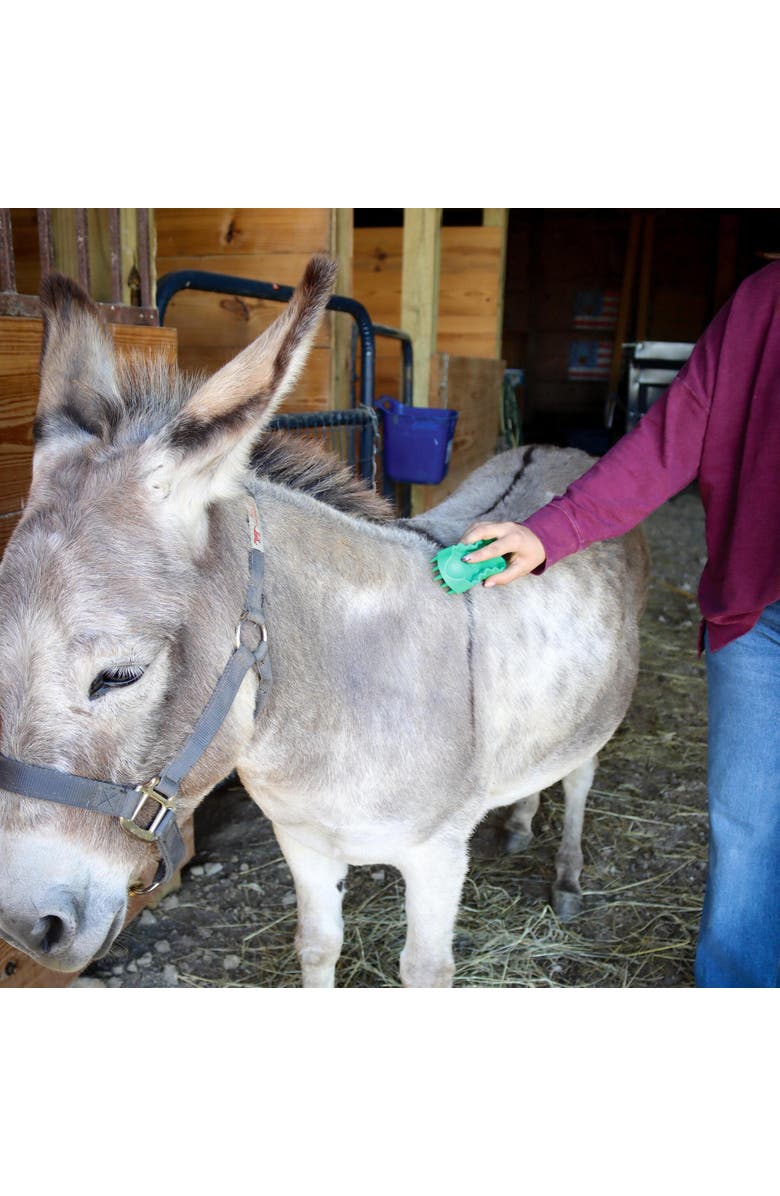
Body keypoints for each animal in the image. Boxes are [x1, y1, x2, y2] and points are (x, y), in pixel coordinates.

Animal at [0, 256, 648, 986]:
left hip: (599, 714)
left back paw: (566, 876)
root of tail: (554, 447)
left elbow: (424, 969)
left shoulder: (436, 854)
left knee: (581, 778)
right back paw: (517, 821)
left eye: (119, 676)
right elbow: (317, 946)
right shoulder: (302, 840)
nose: (24, 927)